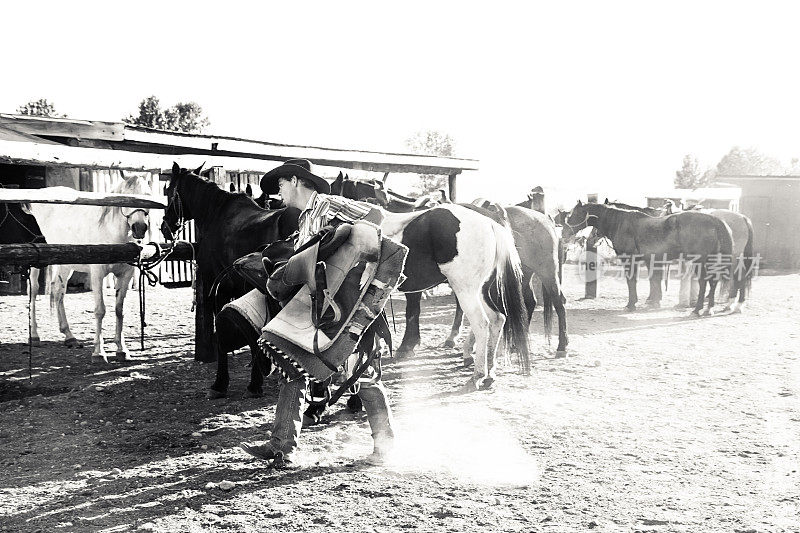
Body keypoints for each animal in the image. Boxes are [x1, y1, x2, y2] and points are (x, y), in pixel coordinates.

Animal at [27, 177, 153, 364]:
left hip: (65, 264)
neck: (112, 234)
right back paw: (34, 336)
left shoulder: (125, 275)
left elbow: (119, 310)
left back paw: (69, 336)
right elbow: (100, 310)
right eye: (126, 197)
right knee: (34, 291)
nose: (139, 228)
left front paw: (122, 350)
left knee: (58, 290)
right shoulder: (98, 274)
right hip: (37, 262)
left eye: (148, 196)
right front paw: (98, 353)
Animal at [161, 164, 302, 396]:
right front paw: (256, 379)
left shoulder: (218, 289)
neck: (215, 216)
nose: (165, 226)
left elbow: (223, 335)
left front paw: (222, 383)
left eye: (169, 191)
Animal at [564, 202, 736, 314]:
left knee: (705, 282)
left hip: (701, 260)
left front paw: (631, 304)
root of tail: (714, 220)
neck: (621, 223)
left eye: (575, 214)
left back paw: (699, 308)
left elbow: (632, 281)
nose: (565, 232)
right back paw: (707, 308)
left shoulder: (629, 260)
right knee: (712, 282)